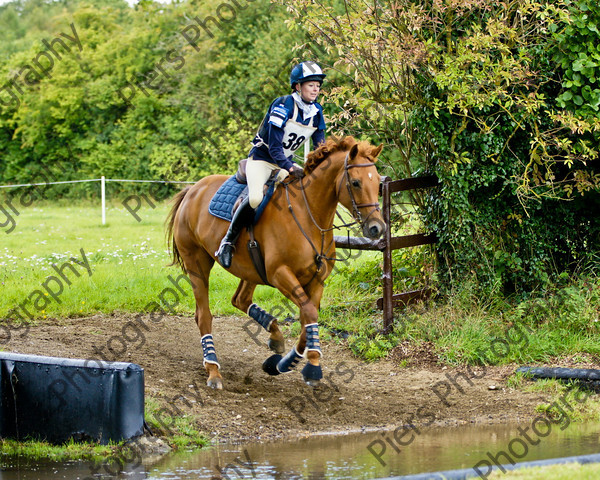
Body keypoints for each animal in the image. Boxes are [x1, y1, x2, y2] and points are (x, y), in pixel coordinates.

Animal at [166, 135, 386, 390]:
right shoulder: (280, 274)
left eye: (377, 182)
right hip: (197, 263)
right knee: (203, 315)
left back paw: (275, 337)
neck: (308, 216)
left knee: (240, 299)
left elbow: (308, 318)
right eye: (356, 182)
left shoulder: (316, 280)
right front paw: (312, 368)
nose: (377, 228)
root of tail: (193, 189)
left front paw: (282, 364)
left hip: (250, 269)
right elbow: (309, 313)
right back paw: (213, 370)